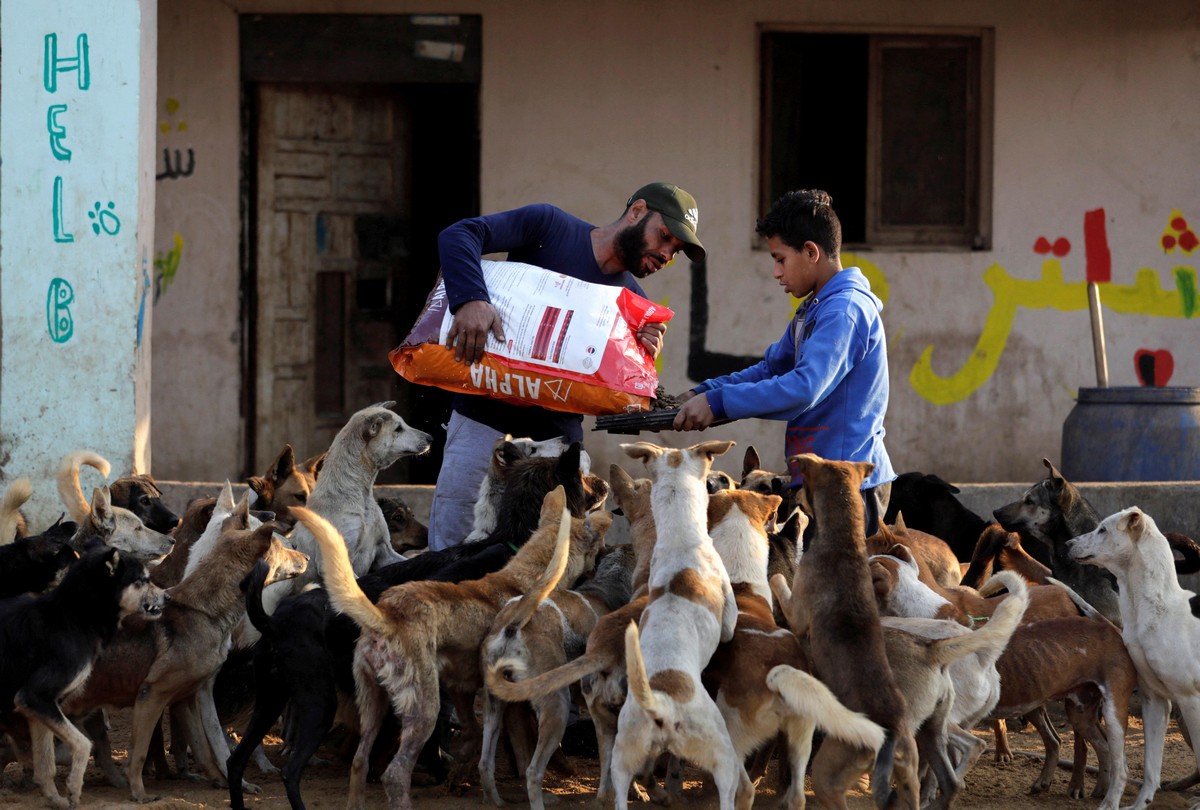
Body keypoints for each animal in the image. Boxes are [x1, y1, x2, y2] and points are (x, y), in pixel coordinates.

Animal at [1065, 504, 1200, 806]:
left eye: (1103, 529)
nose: (1067, 543)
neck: (1158, 609)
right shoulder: (1155, 700)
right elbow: (1151, 767)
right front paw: (1140, 804)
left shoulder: (1191, 701)